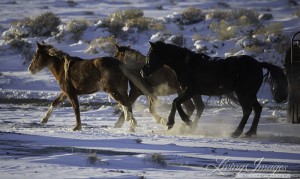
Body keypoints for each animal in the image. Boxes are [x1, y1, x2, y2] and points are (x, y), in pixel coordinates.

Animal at [142, 41, 288, 138]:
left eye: (150, 55)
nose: (143, 72)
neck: (187, 64)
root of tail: (259, 64)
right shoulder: (191, 92)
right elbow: (184, 104)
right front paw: (178, 125)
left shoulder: (191, 90)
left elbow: (176, 102)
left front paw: (180, 122)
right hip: (250, 94)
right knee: (257, 109)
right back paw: (250, 132)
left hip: (243, 93)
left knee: (247, 110)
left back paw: (237, 132)